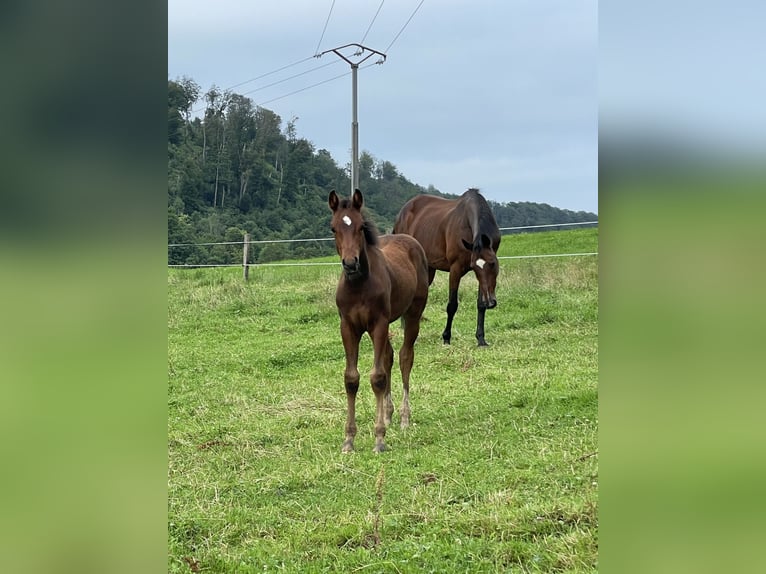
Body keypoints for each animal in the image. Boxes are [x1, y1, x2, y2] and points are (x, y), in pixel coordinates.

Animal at [328, 190, 432, 454]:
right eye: (333, 228)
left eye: (361, 227)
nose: (350, 264)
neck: (359, 285)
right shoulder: (348, 327)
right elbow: (351, 378)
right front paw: (349, 440)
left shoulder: (378, 324)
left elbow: (377, 377)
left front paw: (379, 439)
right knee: (389, 358)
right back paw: (387, 414)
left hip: (412, 314)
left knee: (405, 357)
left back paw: (404, 417)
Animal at [396, 191, 504, 348]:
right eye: (474, 266)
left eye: (493, 263)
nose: (491, 302)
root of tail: (402, 213)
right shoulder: (455, 269)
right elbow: (452, 305)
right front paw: (446, 338)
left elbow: (480, 304)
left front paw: (481, 339)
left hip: (428, 270)